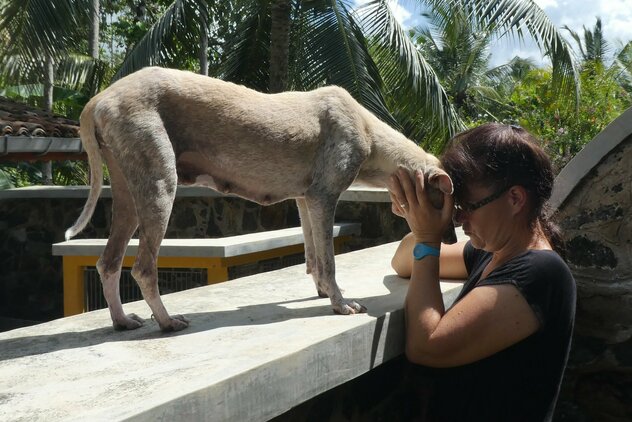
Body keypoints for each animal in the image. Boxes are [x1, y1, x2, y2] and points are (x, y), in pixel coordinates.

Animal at [65, 66, 454, 332]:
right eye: (448, 201)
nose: (450, 239)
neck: (368, 132)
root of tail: (101, 98)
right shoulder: (324, 197)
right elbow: (328, 262)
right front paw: (341, 304)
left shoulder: (305, 200)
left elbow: (314, 258)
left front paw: (321, 292)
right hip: (160, 186)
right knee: (143, 268)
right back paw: (167, 322)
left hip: (129, 195)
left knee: (108, 263)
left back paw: (122, 320)